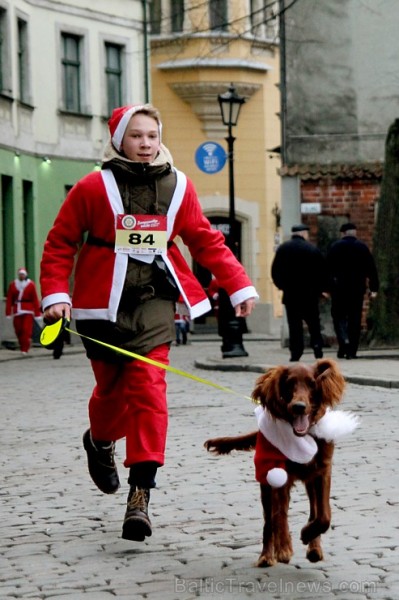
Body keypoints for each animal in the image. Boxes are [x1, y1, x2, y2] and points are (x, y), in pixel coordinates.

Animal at [206, 358, 354, 568]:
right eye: (290, 383)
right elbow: (280, 514)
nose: (299, 406)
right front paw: (283, 548)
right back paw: (267, 555)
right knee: (269, 520)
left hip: (309, 481)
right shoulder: (278, 473)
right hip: (266, 482)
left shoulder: (322, 471)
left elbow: (324, 516)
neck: (302, 435)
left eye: (312, 383)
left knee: (313, 511)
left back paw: (314, 547)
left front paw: (307, 534)